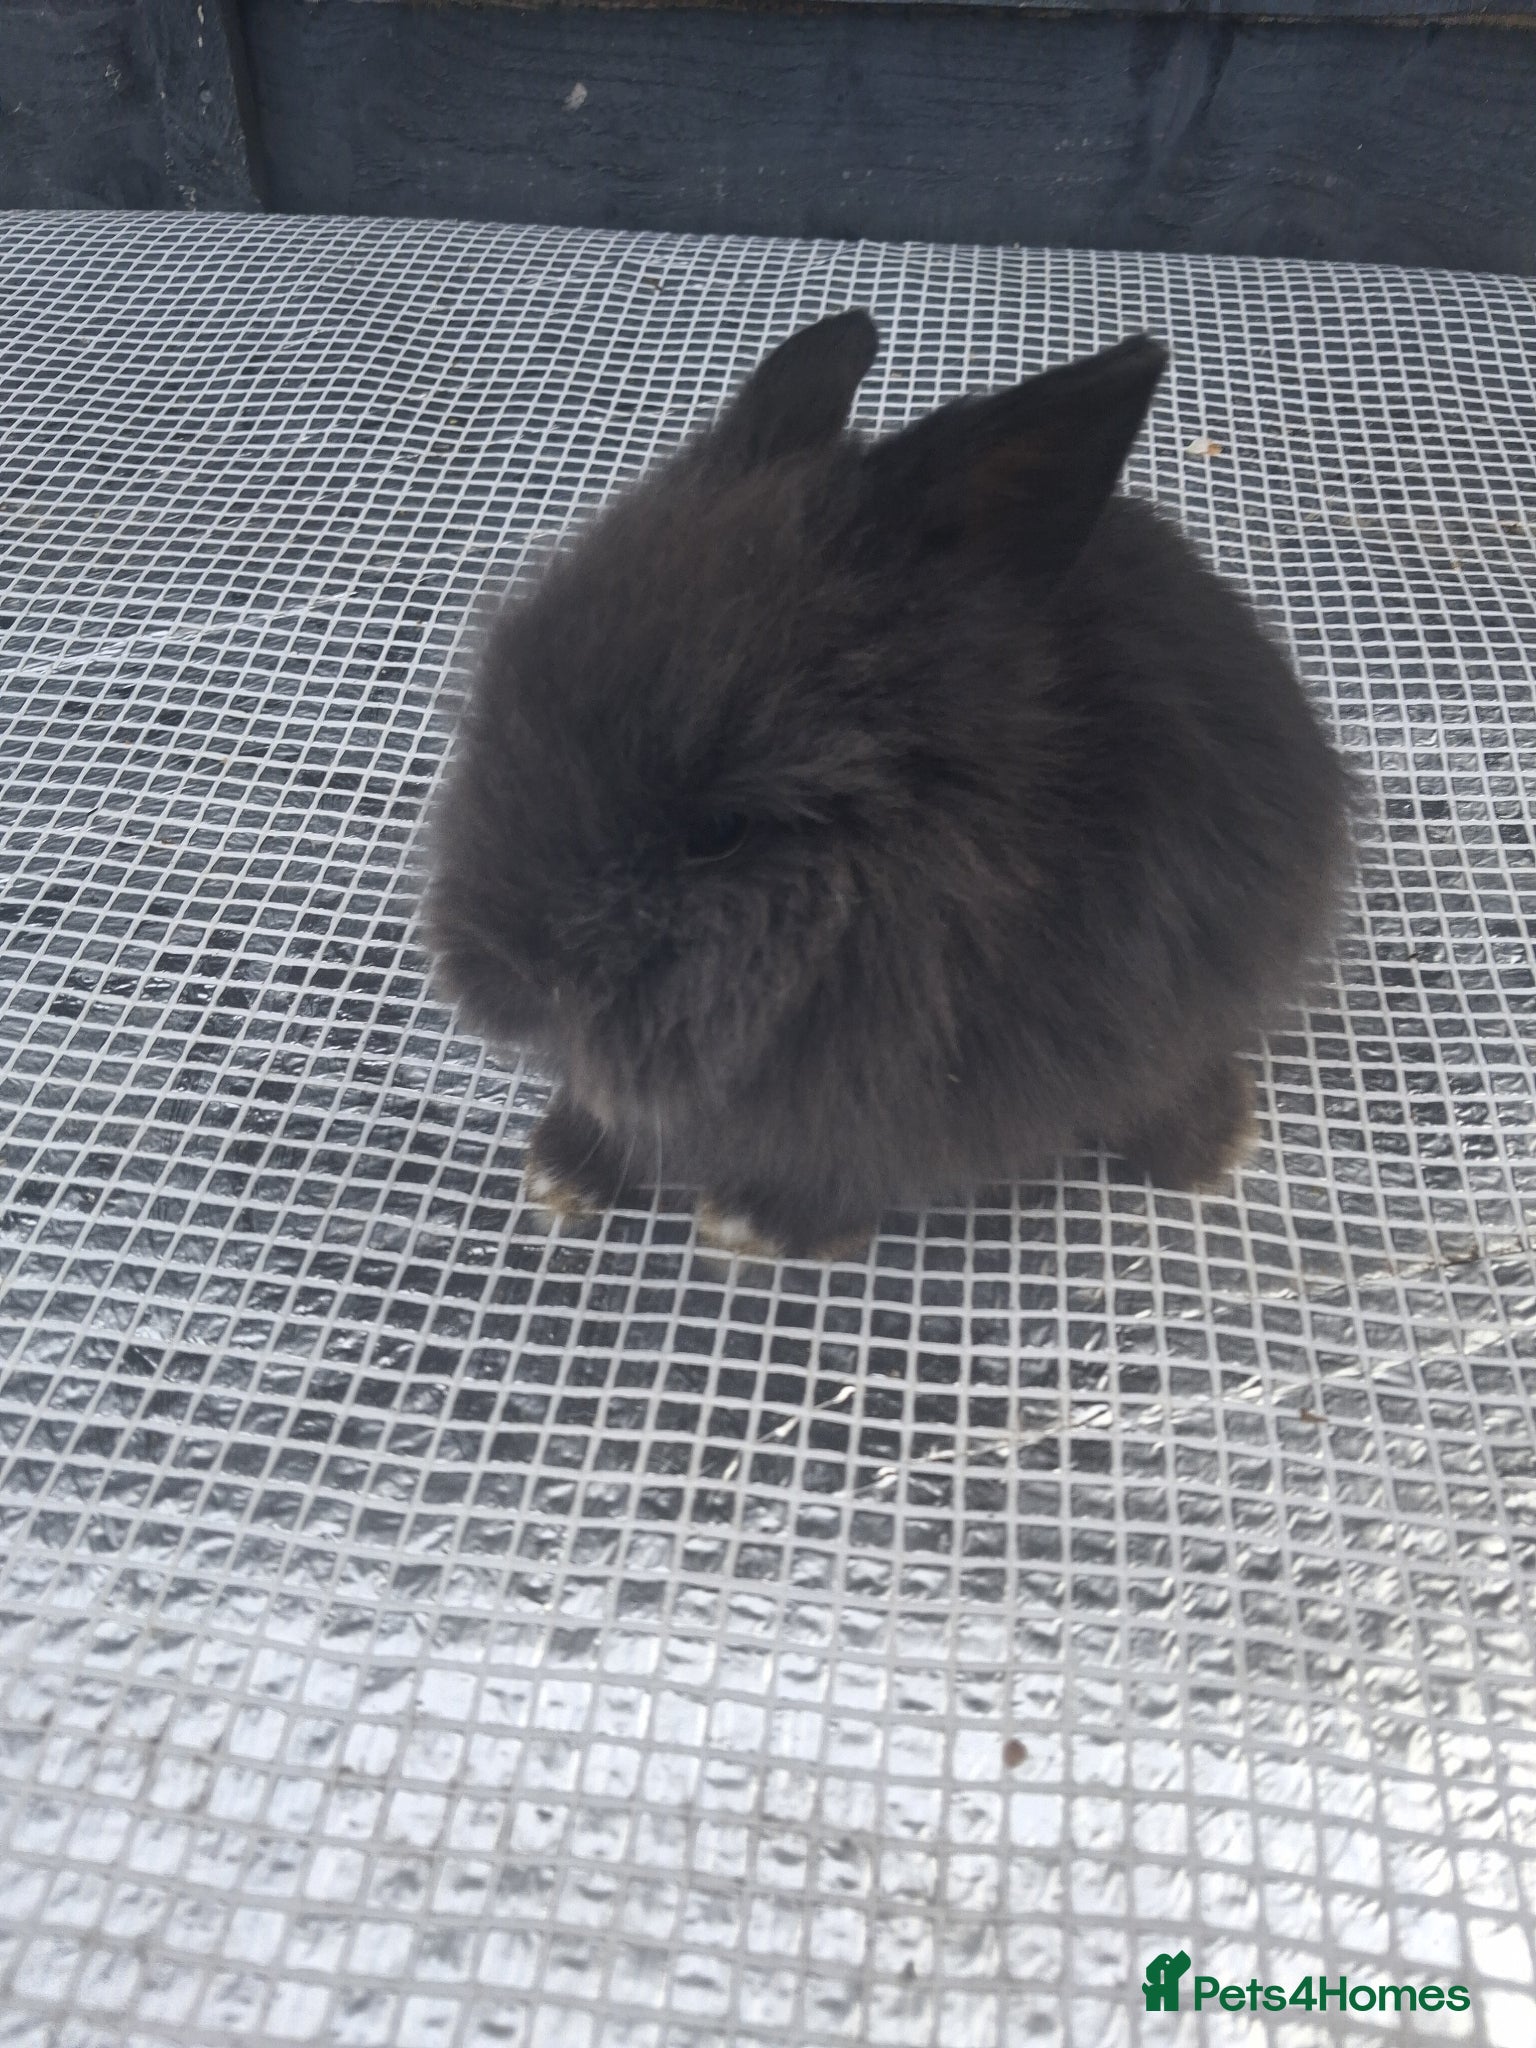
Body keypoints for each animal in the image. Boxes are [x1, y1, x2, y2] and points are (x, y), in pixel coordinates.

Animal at [422, 310, 1353, 1259]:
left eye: (719, 832)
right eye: (507, 699)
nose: (508, 977)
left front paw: (756, 1223)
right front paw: (564, 1169)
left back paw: (1209, 1153)